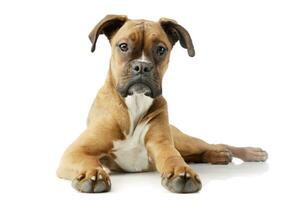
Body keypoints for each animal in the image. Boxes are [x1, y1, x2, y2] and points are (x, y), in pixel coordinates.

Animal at [56, 14, 268, 193]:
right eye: (123, 46)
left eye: (161, 49)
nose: (142, 66)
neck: (135, 102)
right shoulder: (75, 151)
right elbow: (88, 162)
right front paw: (93, 173)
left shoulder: (163, 145)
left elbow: (173, 157)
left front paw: (181, 172)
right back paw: (220, 156)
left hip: (184, 141)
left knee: (213, 144)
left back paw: (248, 153)